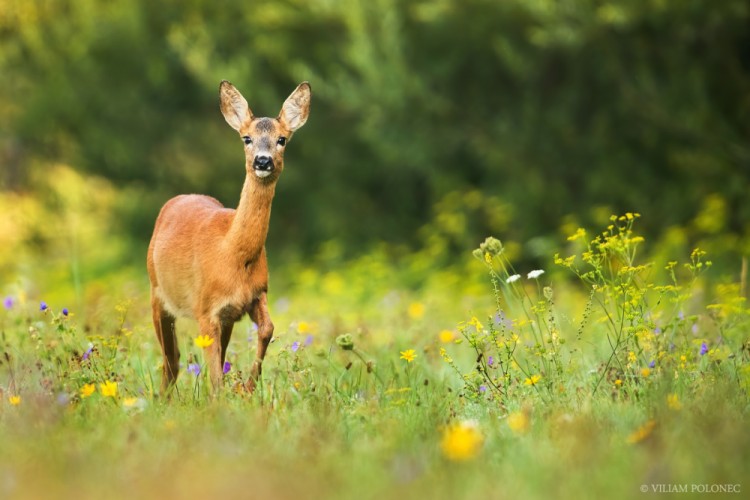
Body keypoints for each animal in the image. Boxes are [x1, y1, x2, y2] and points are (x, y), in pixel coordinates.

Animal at [147, 81, 312, 394]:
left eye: (282, 139)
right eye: (246, 138)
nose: (263, 161)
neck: (234, 254)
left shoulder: (254, 295)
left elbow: (267, 329)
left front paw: (248, 386)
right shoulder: (205, 309)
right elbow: (213, 377)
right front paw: (226, 397)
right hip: (156, 292)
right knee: (170, 358)